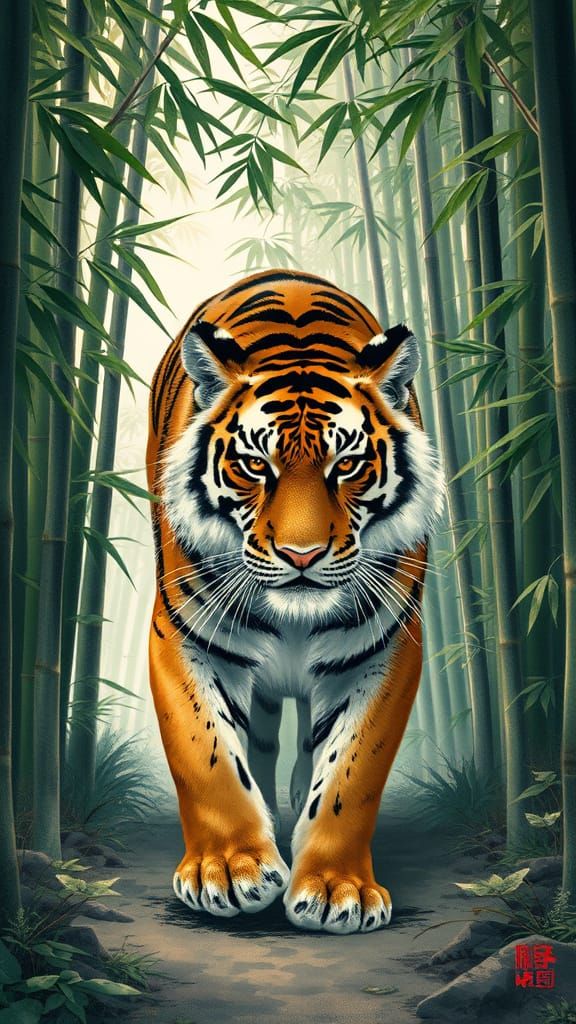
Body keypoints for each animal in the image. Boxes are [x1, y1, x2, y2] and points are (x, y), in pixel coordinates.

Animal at [147, 269, 444, 934]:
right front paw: (229, 870)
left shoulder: (385, 651)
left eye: (349, 464)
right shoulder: (182, 636)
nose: (301, 554)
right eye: (255, 465)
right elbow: (206, 757)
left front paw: (337, 889)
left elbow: (350, 777)